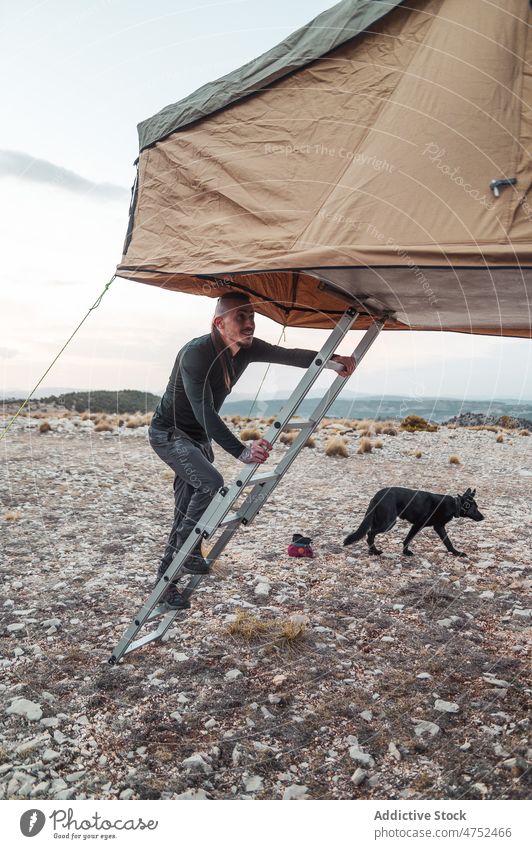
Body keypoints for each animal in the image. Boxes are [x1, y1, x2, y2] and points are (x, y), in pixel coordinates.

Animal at [342, 484, 484, 556]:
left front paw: (455, 552)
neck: (454, 505)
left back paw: (372, 550)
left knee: (370, 533)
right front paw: (406, 552)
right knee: (370, 533)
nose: (483, 517)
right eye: (474, 507)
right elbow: (408, 539)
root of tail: (377, 495)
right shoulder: (418, 524)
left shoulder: (439, 527)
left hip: (379, 520)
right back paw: (375, 551)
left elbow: (447, 542)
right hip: (389, 522)